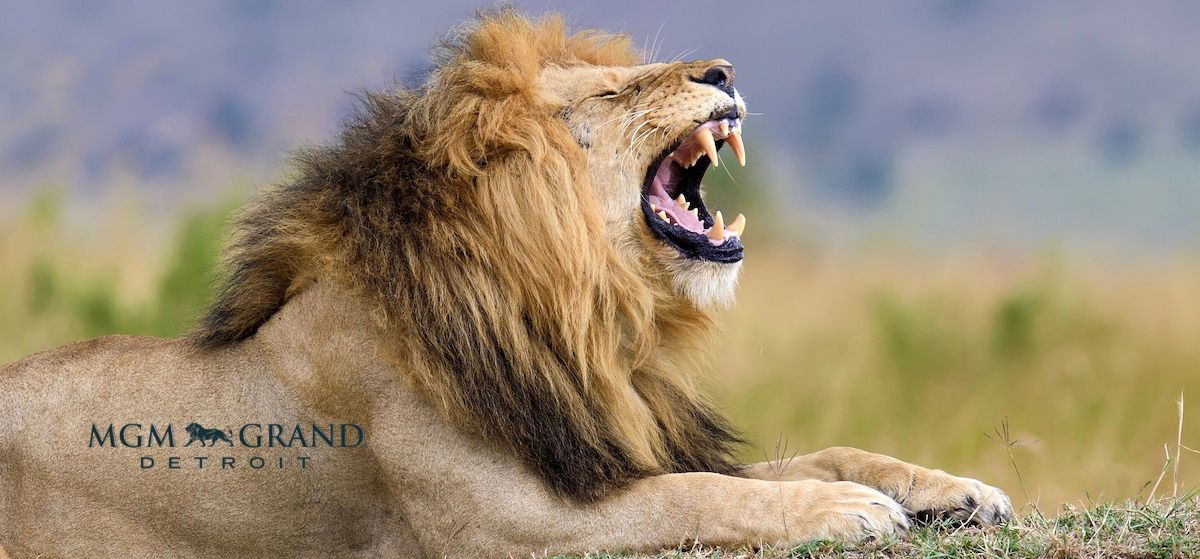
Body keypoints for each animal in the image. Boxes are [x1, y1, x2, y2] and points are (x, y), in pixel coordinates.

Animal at [0, 11, 1011, 558]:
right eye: (609, 95)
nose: (723, 70)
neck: (587, 318)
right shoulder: (502, 524)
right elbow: (702, 496)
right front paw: (845, 511)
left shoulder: (604, 445)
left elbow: (819, 452)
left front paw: (951, 487)